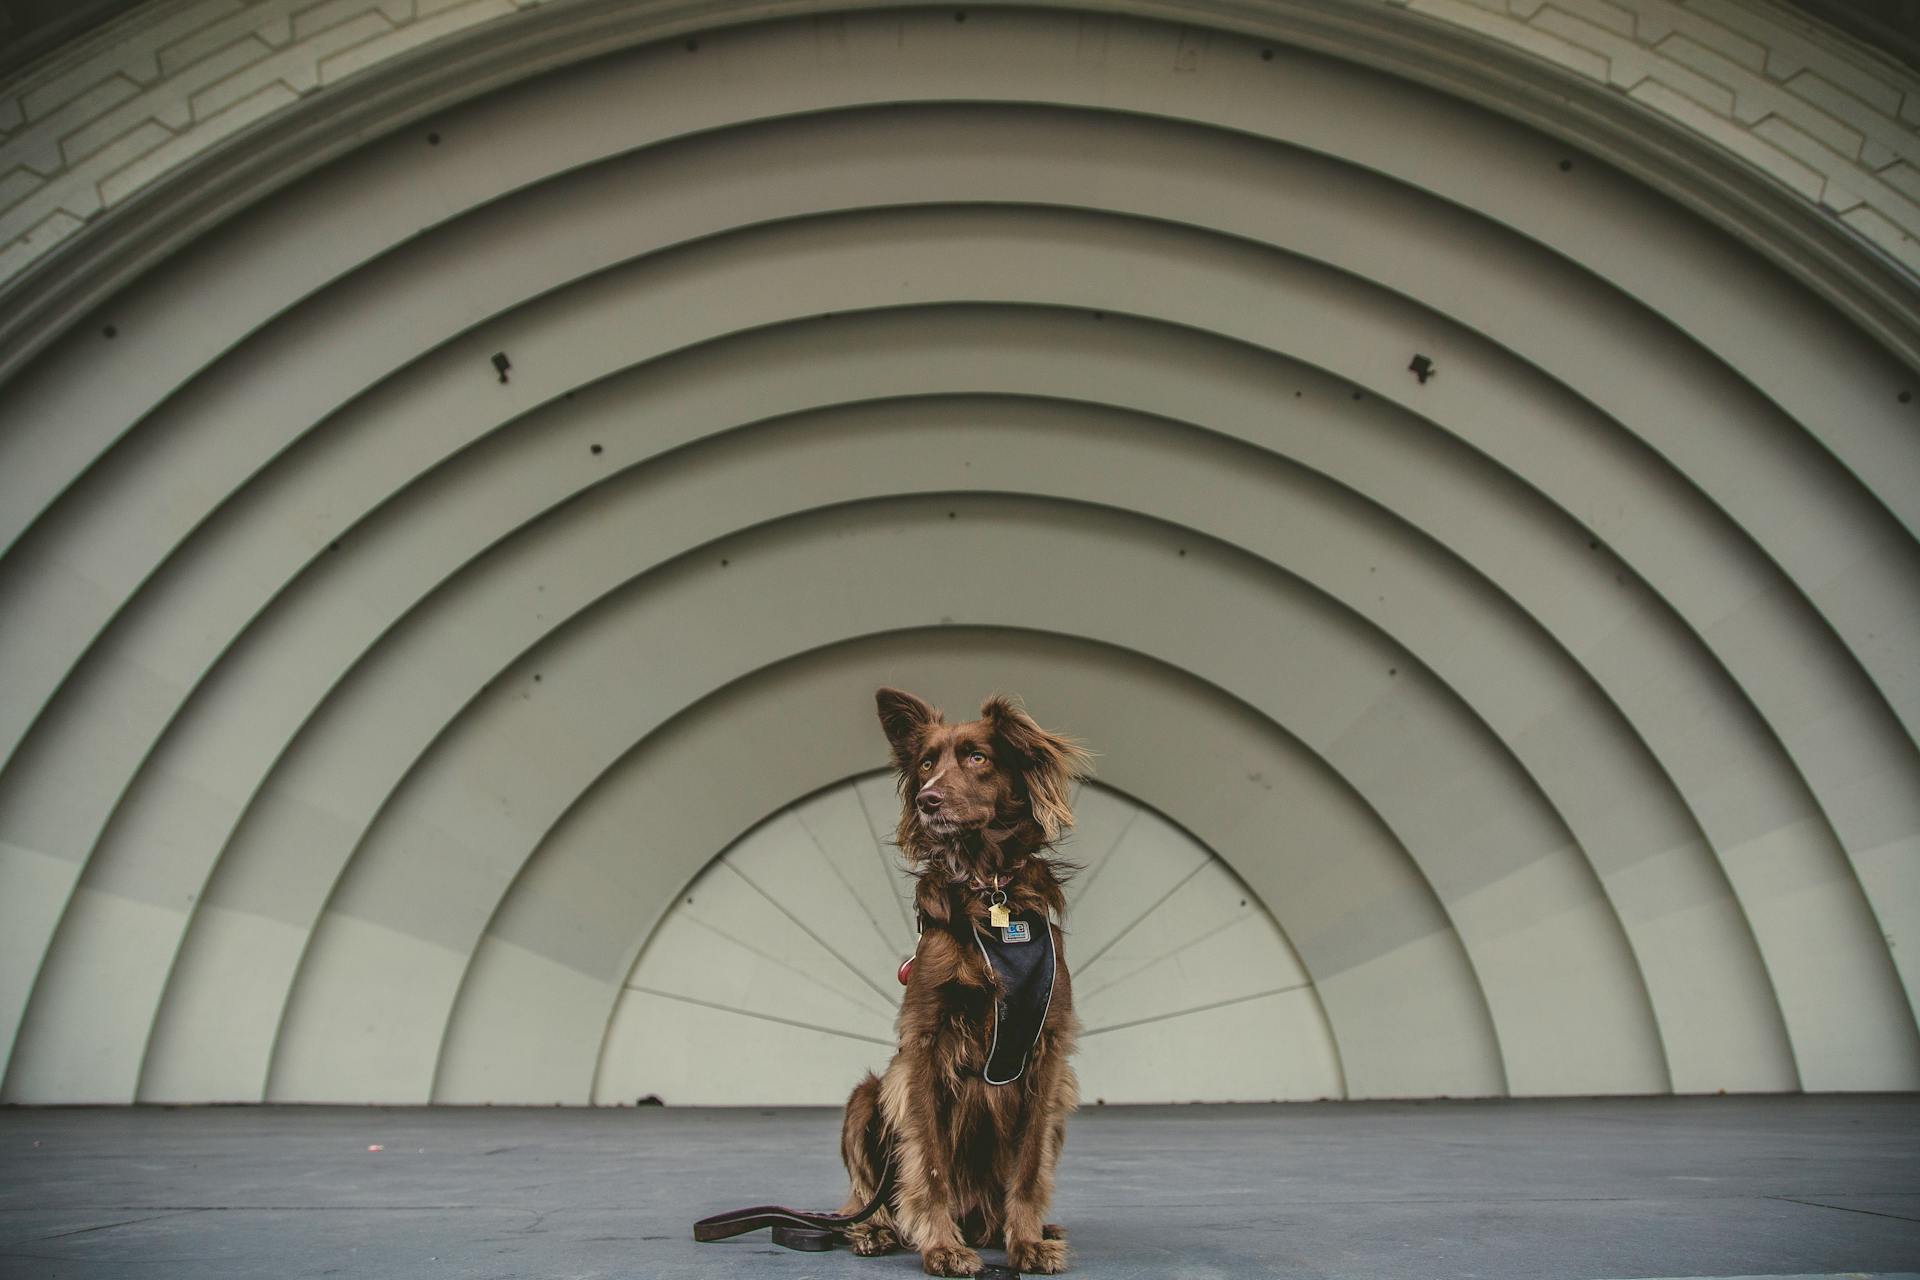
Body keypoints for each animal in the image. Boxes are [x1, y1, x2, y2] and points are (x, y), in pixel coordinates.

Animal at [840, 694, 1098, 1274]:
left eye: (978, 757)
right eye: (926, 764)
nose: (929, 800)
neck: (989, 892)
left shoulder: (1046, 1052)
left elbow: (1028, 1167)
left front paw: (1026, 1242)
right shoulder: (923, 1047)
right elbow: (930, 1165)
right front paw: (942, 1247)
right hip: (866, 1097)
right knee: (861, 1196)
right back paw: (874, 1230)